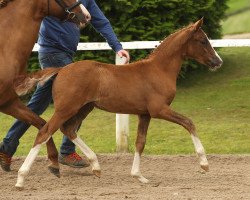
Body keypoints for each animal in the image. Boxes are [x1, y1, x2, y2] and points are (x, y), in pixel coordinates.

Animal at [15, 18, 223, 188]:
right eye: (203, 41)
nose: (217, 62)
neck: (159, 70)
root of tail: (61, 69)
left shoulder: (144, 114)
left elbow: (140, 142)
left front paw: (139, 176)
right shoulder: (159, 110)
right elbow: (189, 123)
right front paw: (204, 164)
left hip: (84, 107)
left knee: (69, 129)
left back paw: (96, 166)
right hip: (66, 108)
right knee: (45, 131)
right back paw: (21, 178)